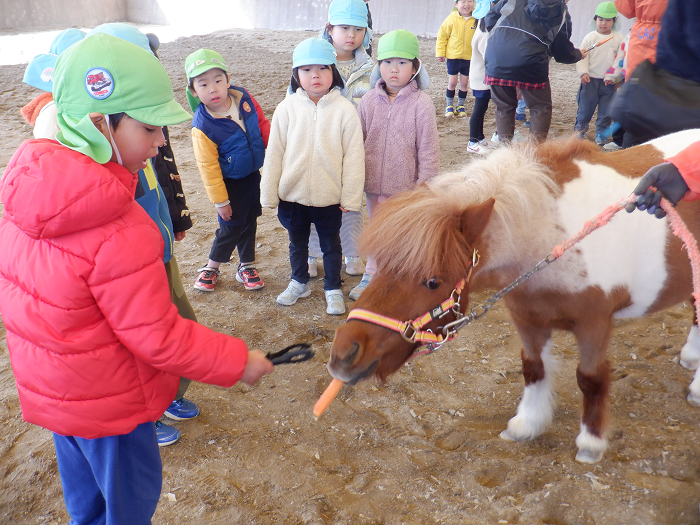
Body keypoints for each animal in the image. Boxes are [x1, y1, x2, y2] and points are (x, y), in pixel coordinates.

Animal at [328, 130, 700, 464]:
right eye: (382, 265)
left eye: (433, 281)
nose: (344, 353)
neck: (554, 238)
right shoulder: (528, 318)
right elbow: (533, 368)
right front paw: (527, 424)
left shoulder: (594, 324)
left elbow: (591, 379)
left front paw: (590, 443)